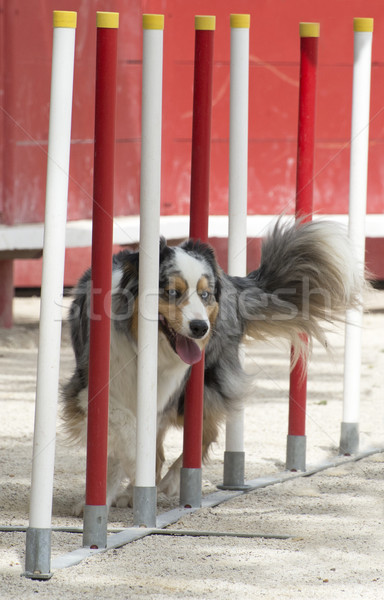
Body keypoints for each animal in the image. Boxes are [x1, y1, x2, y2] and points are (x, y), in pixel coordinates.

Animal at [62, 218, 364, 512]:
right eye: (172, 292)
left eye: (205, 295)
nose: (200, 328)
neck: (141, 342)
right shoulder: (88, 388)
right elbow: (120, 432)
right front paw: (113, 487)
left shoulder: (161, 393)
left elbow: (133, 440)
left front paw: (135, 476)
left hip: (202, 387)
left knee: (205, 431)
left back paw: (170, 480)